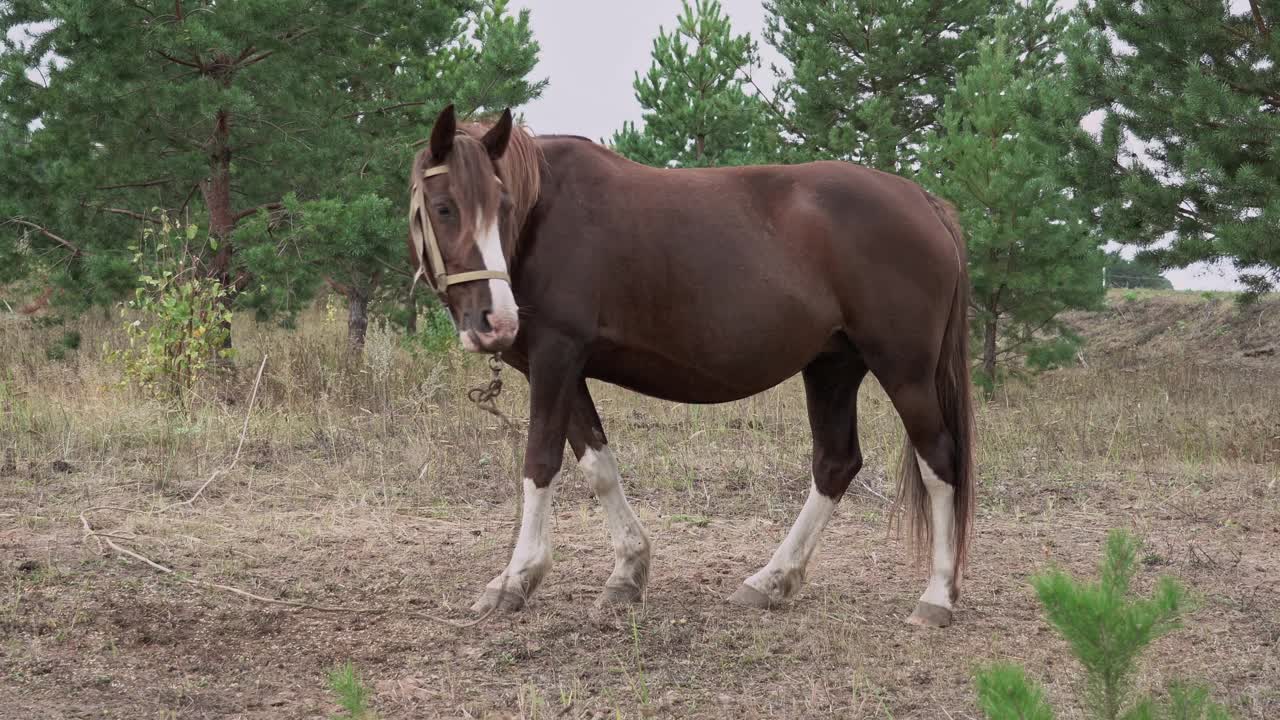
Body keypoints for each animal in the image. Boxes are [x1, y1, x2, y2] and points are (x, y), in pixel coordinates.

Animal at [404, 103, 972, 625]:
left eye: (502, 206)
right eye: (443, 207)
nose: (495, 320)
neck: (544, 217)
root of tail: (923, 201)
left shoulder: (556, 356)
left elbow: (540, 463)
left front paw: (515, 579)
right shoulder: (567, 368)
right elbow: (598, 465)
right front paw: (627, 572)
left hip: (905, 372)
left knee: (939, 461)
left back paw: (936, 596)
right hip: (833, 367)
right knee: (836, 463)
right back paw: (771, 580)